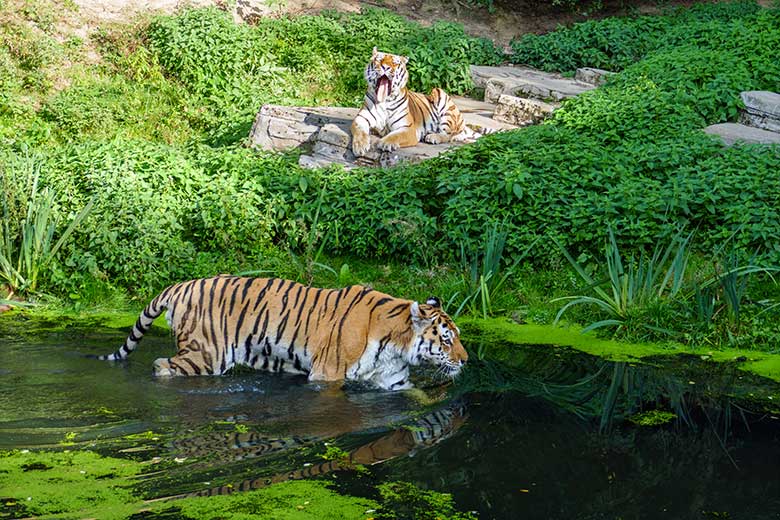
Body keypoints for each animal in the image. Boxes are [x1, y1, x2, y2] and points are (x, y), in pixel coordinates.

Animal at [94, 276, 466, 390]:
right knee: (161, 365)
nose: (466, 360)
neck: (397, 345)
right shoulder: (327, 375)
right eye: (447, 339)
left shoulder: (393, 381)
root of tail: (180, 285)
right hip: (206, 355)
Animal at [348, 47, 482, 155]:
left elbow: (395, 135)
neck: (384, 101)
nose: (385, 67)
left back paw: (433, 137)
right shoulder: (361, 119)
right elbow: (360, 132)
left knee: (450, 134)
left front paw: (385, 143)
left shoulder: (407, 128)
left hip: (440, 94)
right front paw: (360, 146)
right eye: (379, 60)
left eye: (395, 63)